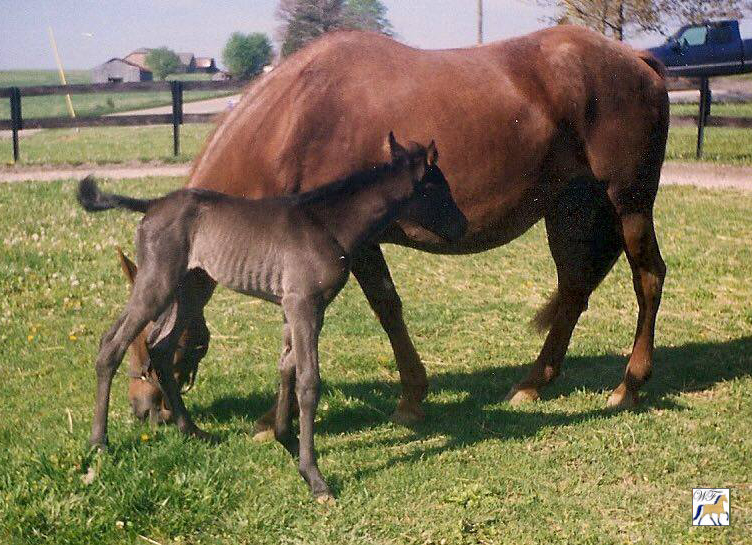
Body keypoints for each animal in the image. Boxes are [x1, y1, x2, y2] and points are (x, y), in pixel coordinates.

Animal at [76, 134, 464, 500]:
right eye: (438, 187)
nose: (461, 225)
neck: (328, 224)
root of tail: (152, 203)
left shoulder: (302, 307)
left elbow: (287, 367)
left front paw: (285, 439)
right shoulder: (303, 304)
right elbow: (309, 382)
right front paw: (314, 477)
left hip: (193, 286)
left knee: (161, 346)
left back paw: (194, 431)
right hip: (158, 282)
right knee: (112, 344)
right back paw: (99, 443)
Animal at [125, 26, 668, 430]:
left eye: (147, 344)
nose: (143, 410)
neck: (292, 120)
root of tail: (637, 59)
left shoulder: (354, 245)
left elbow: (384, 308)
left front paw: (405, 400)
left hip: (629, 205)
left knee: (648, 278)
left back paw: (629, 385)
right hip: (568, 209)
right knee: (574, 288)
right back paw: (534, 382)